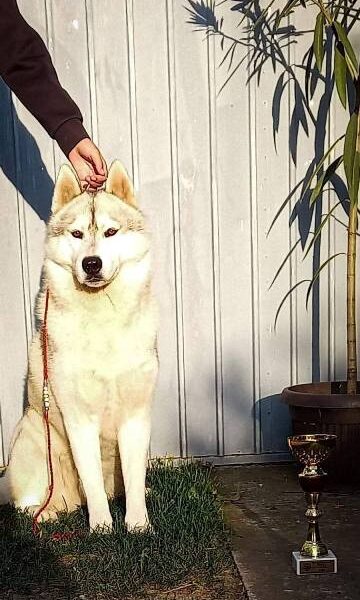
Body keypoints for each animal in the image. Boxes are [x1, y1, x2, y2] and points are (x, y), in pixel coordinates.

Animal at [0, 159, 158, 528]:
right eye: (76, 234)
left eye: (111, 232)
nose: (91, 263)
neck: (103, 320)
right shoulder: (79, 419)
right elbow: (93, 482)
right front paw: (101, 527)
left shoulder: (135, 415)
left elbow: (133, 479)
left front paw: (138, 526)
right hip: (33, 440)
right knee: (29, 502)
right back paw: (45, 512)